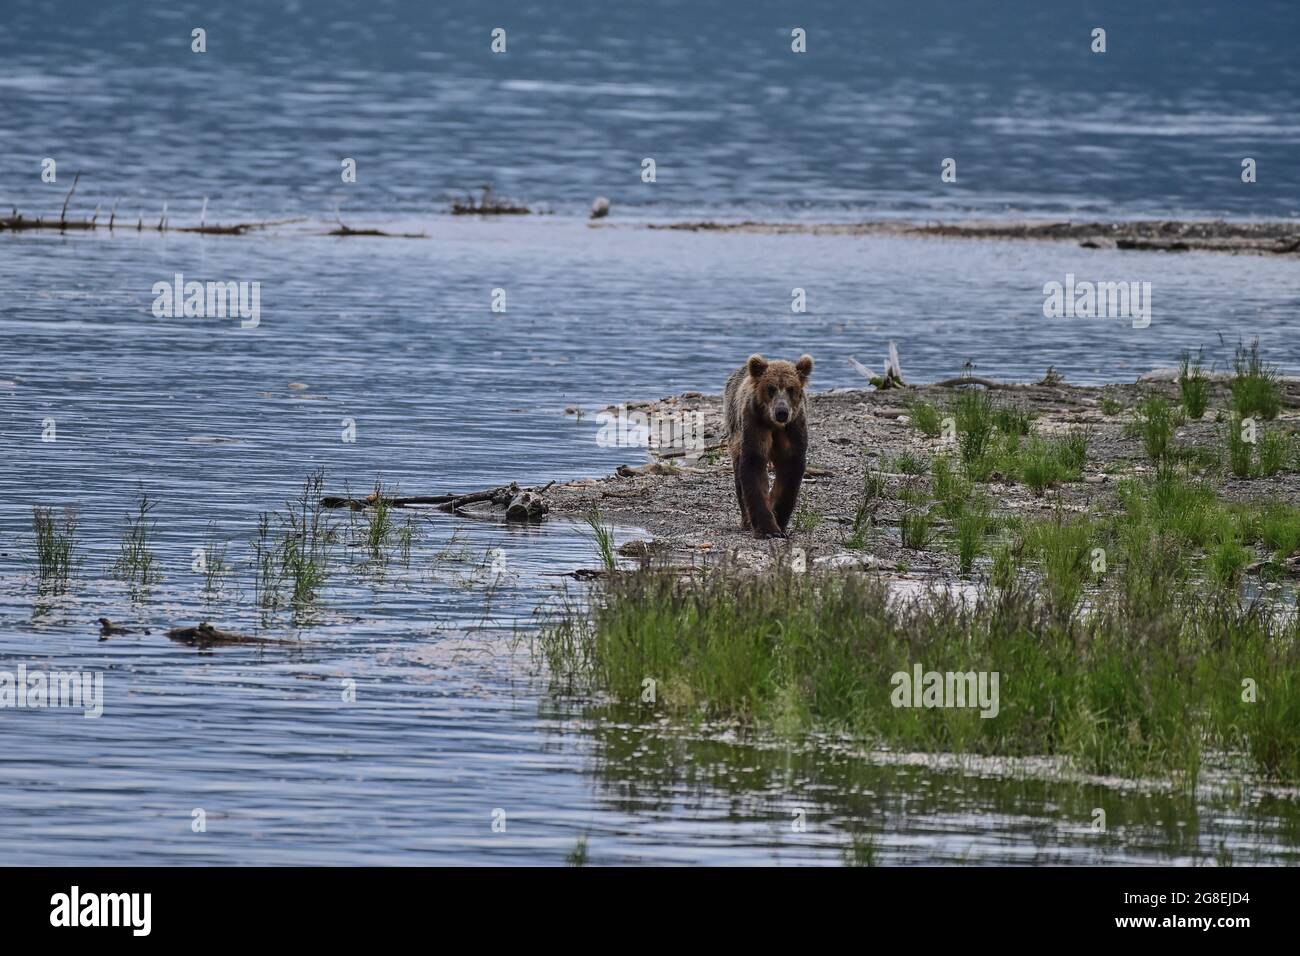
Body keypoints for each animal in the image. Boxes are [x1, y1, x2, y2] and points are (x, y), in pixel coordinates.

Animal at [722, 356, 811, 541]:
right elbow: (754, 466)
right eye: (771, 388)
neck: (774, 425)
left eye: (791, 389)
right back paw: (746, 521)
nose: (781, 412)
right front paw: (768, 529)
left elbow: (790, 470)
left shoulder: (793, 428)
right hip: (734, 428)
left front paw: (779, 519)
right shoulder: (755, 424)